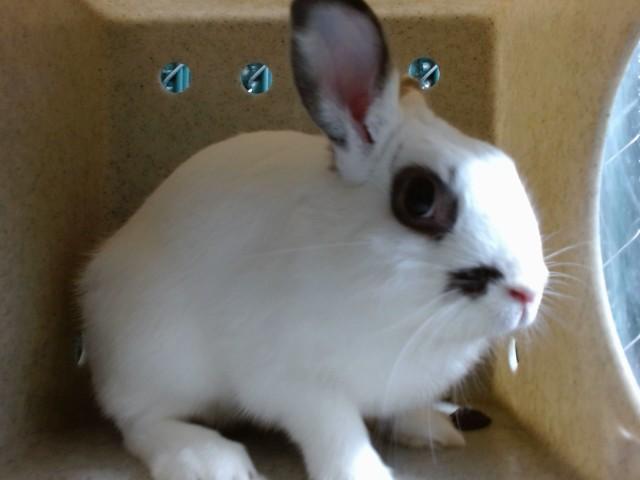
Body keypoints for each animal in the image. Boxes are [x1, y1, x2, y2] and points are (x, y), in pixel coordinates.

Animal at [78, 0, 549, 479]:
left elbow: (395, 410)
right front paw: (366, 474)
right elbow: (339, 433)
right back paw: (211, 461)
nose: (528, 293)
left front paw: (429, 428)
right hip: (157, 356)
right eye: (419, 198)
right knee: (139, 420)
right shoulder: (299, 384)